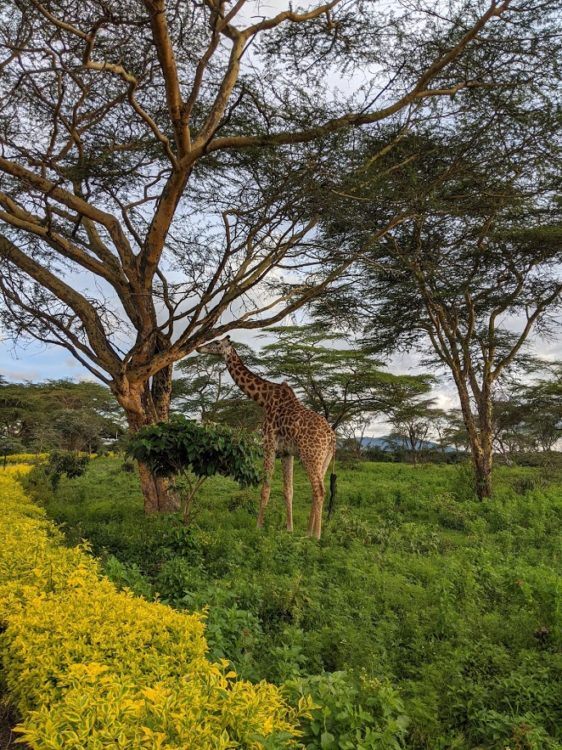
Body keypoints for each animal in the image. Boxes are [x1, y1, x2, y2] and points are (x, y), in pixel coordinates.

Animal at [196, 336, 334, 540]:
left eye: (216, 343)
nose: (198, 348)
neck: (264, 398)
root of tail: (332, 437)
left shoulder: (269, 445)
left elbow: (265, 489)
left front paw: (258, 527)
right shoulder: (286, 452)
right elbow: (288, 490)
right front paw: (290, 529)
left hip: (310, 455)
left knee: (320, 490)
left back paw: (315, 536)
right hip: (323, 459)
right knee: (316, 489)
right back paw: (308, 532)